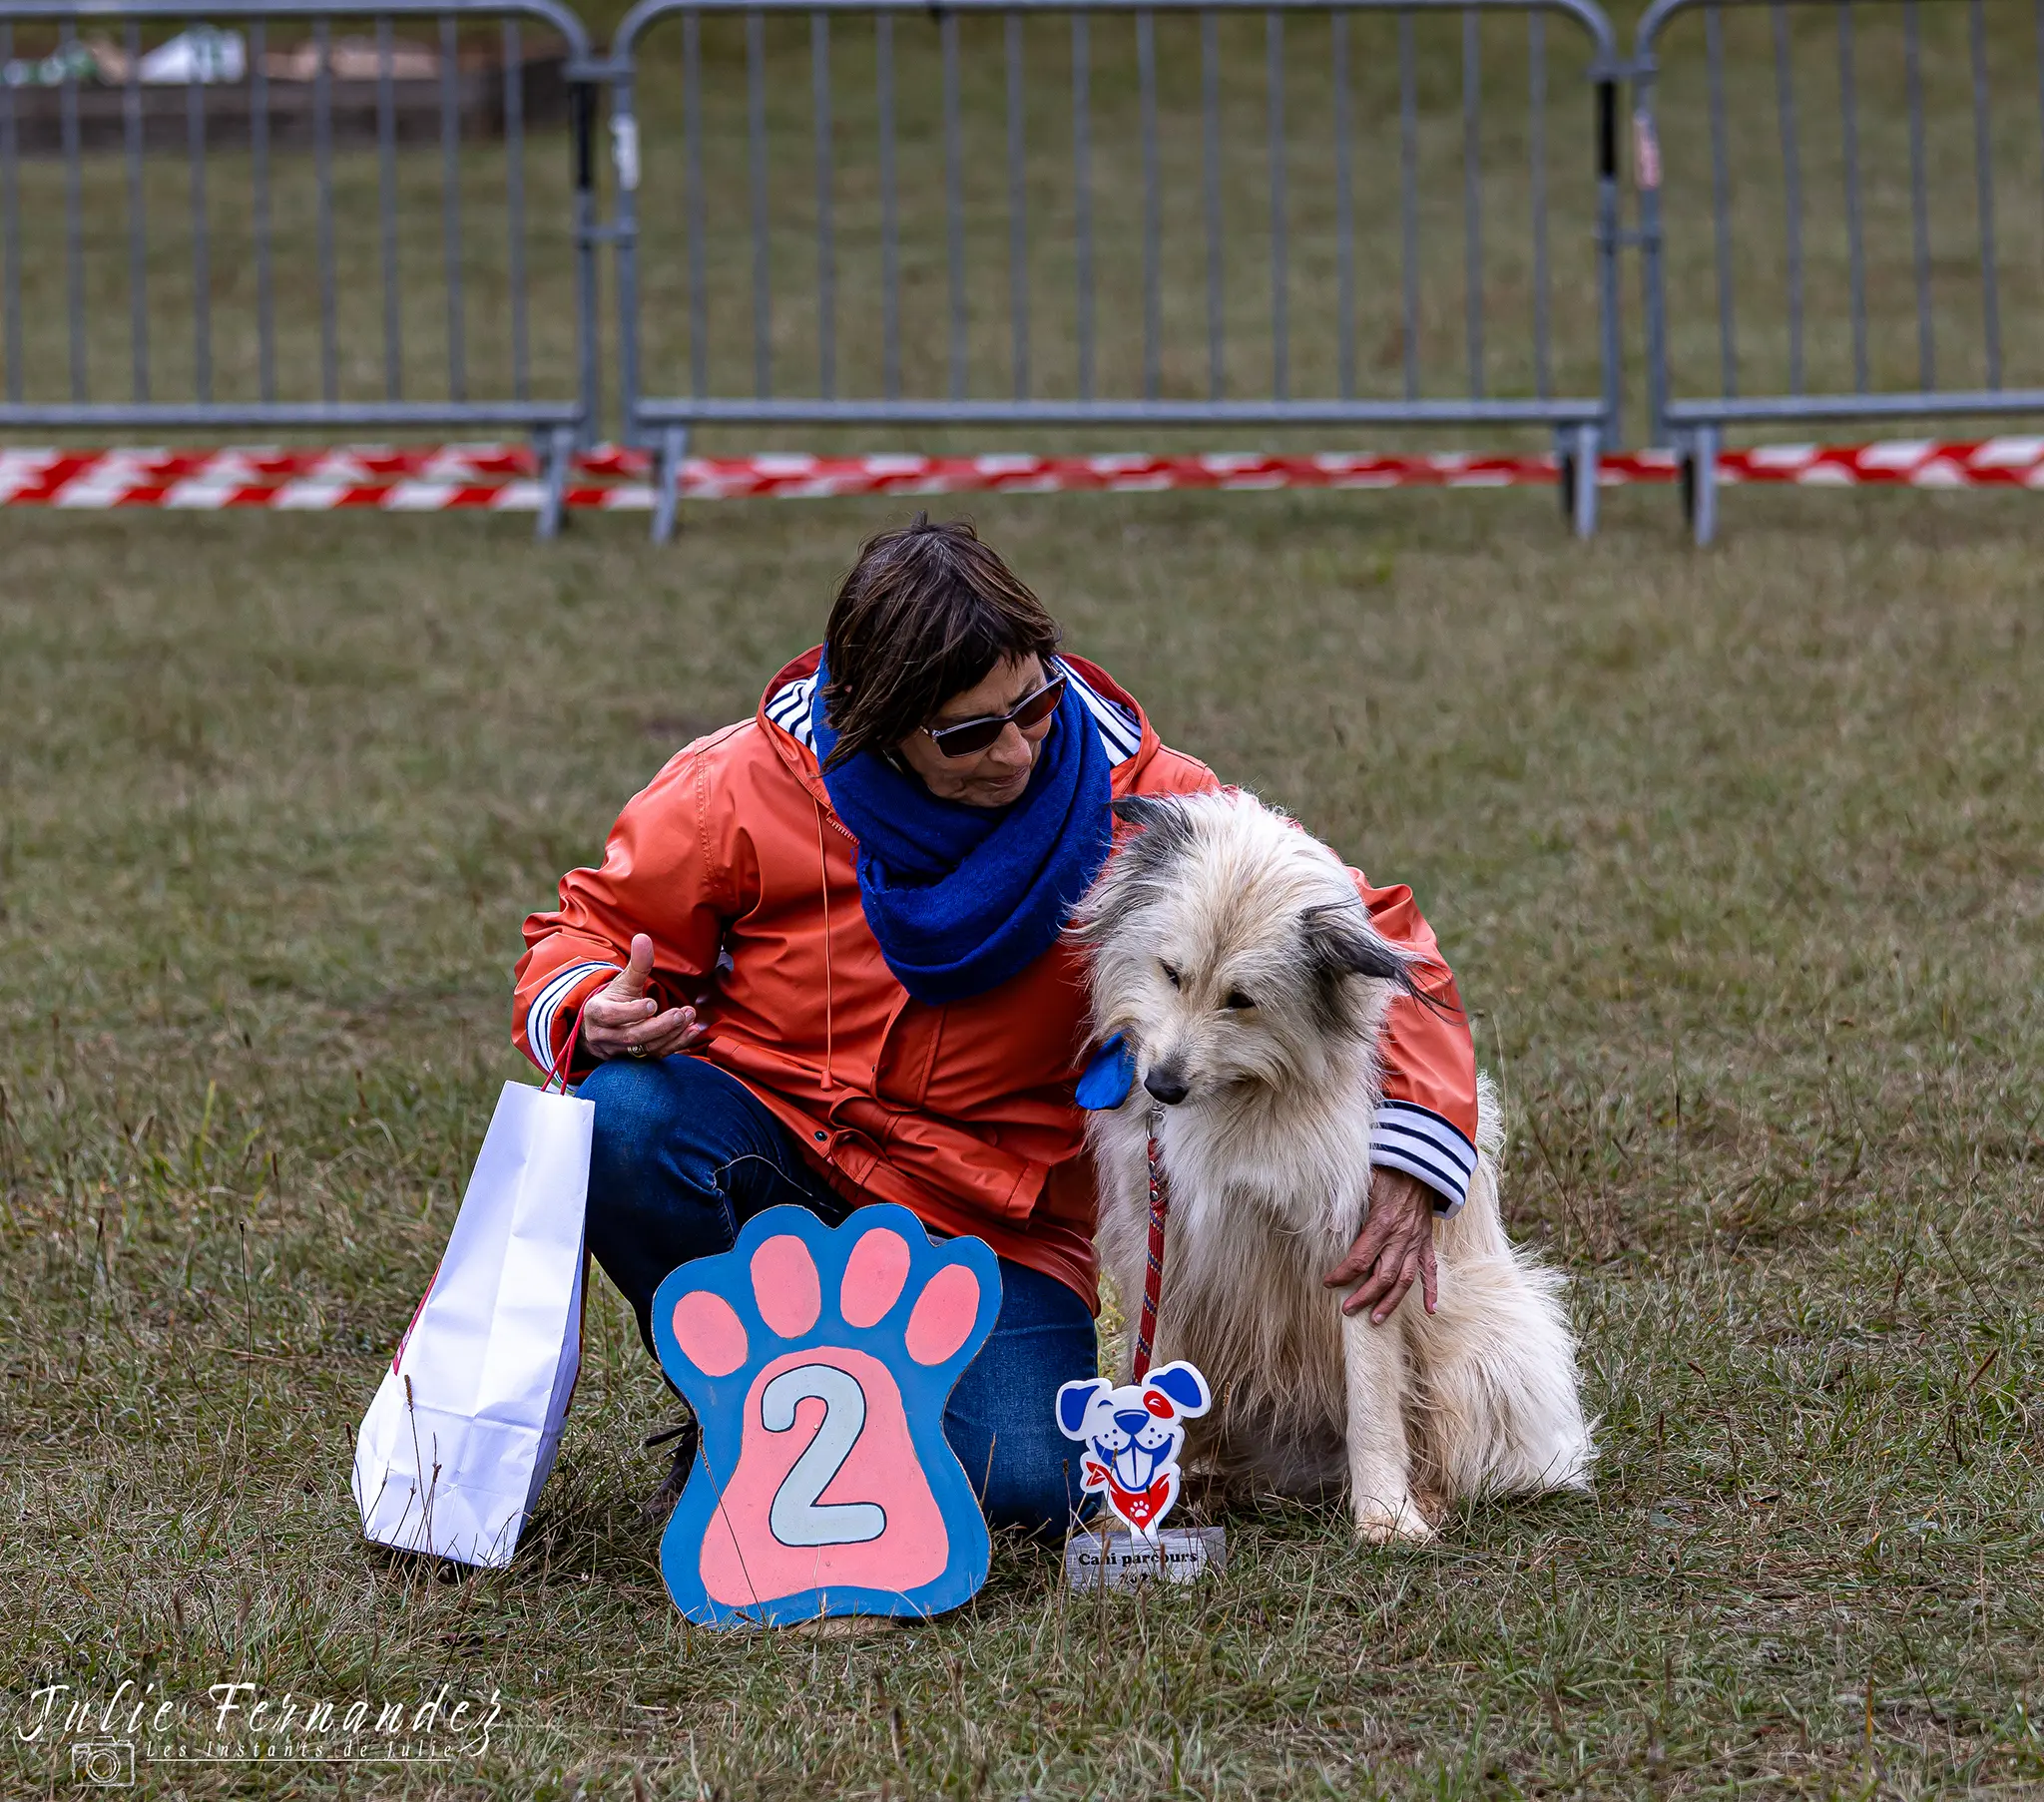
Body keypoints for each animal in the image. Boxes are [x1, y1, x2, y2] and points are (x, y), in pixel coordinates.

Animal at [1071, 792, 1594, 1536]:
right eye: (1171, 973)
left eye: (1241, 1000)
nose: (1162, 1087)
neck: (1247, 1091)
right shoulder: (1163, 1247)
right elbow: (1149, 1377)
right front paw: (1123, 1519)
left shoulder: (1357, 1247)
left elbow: (1372, 1392)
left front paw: (1386, 1517)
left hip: (1482, 1355)